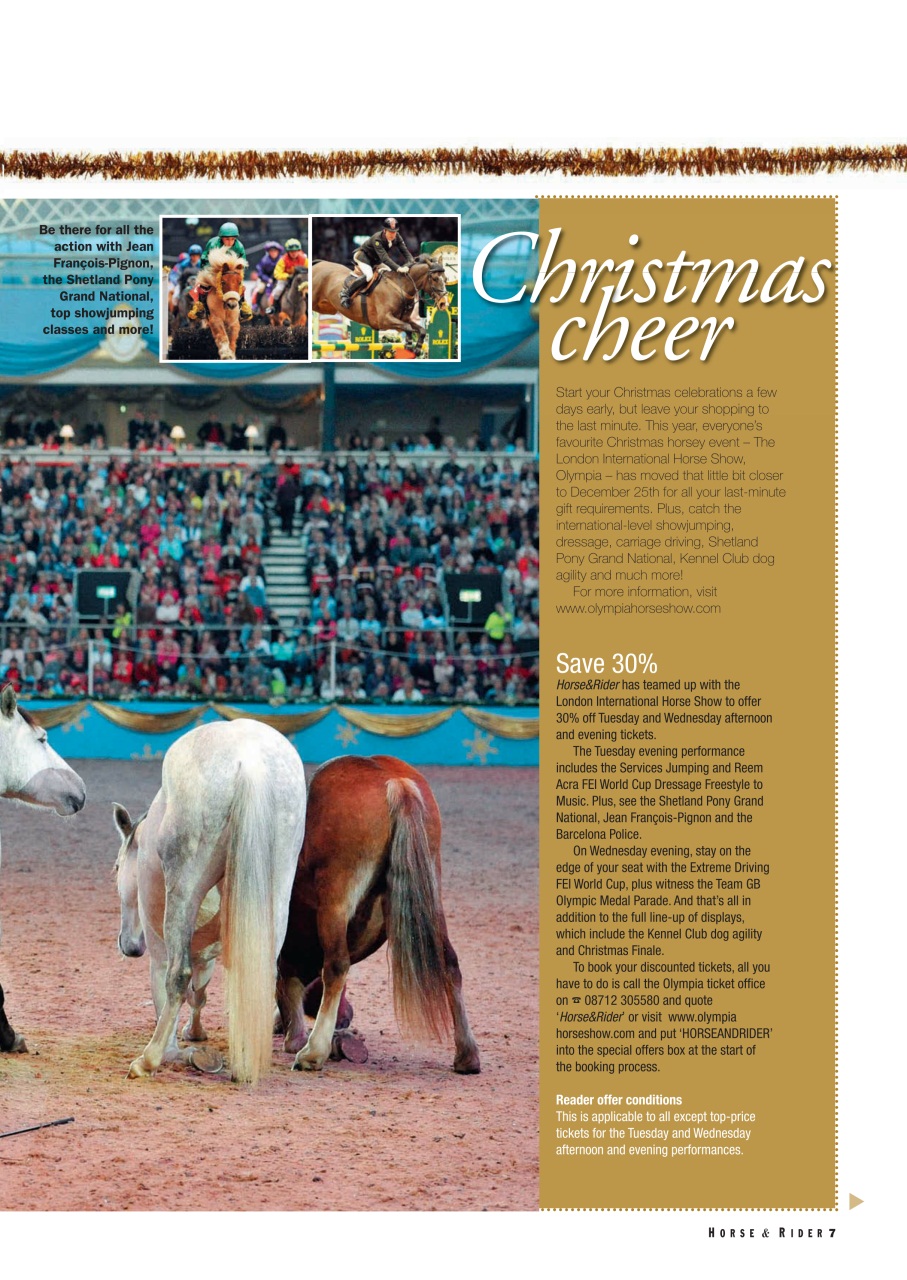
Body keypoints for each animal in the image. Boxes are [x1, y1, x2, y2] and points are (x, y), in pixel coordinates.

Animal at [112, 718, 306, 1083]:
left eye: (116, 868)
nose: (129, 946)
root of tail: (249, 760)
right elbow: (200, 993)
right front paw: (196, 1035)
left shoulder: (159, 947)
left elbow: (170, 991)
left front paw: (171, 1050)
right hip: (277, 891)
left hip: (183, 890)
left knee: (178, 976)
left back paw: (147, 1060)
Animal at [277, 754, 480, 1075]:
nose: (286, 1031)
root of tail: (396, 783)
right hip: (432, 894)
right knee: (449, 962)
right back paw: (467, 1055)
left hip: (337, 898)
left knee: (336, 966)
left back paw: (312, 1052)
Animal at [311, 256, 450, 354]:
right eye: (435, 279)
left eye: (446, 279)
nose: (444, 303)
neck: (401, 288)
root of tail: (319, 264)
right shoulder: (384, 320)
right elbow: (408, 328)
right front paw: (409, 344)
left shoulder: (403, 319)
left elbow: (421, 330)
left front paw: (417, 348)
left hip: (326, 308)